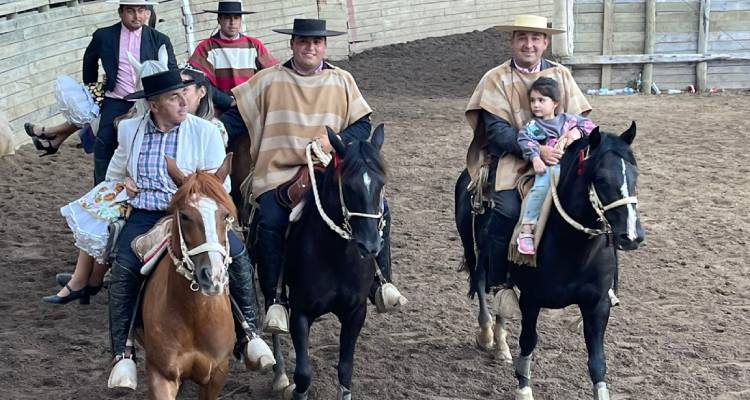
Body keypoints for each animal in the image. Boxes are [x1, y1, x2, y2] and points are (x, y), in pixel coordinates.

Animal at [140, 154, 236, 400]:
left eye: (226, 215)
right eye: (184, 216)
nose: (213, 276)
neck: (194, 316)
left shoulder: (218, 373)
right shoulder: (160, 374)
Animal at [270, 126, 388, 400]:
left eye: (381, 184)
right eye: (349, 186)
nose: (370, 245)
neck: (337, 258)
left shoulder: (356, 312)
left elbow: (345, 369)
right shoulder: (300, 313)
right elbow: (303, 375)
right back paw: (279, 374)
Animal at [456, 122, 648, 400]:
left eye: (635, 175)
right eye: (601, 179)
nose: (632, 236)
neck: (571, 247)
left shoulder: (598, 304)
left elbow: (597, 360)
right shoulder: (531, 300)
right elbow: (528, 342)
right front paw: (523, 389)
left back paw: (501, 346)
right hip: (473, 250)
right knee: (481, 283)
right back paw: (486, 335)